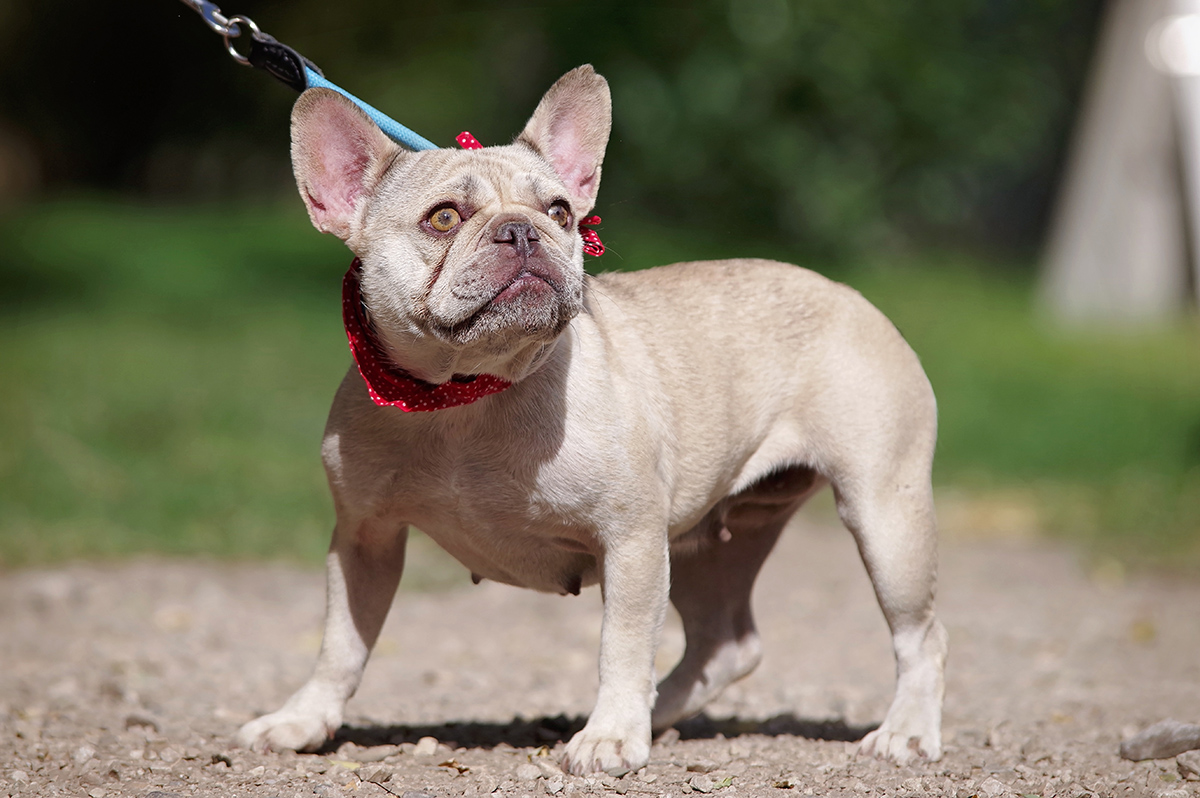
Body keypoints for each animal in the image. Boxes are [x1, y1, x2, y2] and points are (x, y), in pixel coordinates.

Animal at [237, 65, 947, 776]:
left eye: (559, 213)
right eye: (443, 218)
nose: (522, 230)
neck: (467, 395)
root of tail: (849, 295)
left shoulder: (630, 540)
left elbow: (622, 644)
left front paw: (609, 736)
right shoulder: (365, 537)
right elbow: (341, 642)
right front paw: (303, 719)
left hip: (883, 515)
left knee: (922, 634)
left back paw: (906, 733)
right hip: (705, 543)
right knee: (726, 643)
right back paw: (660, 712)